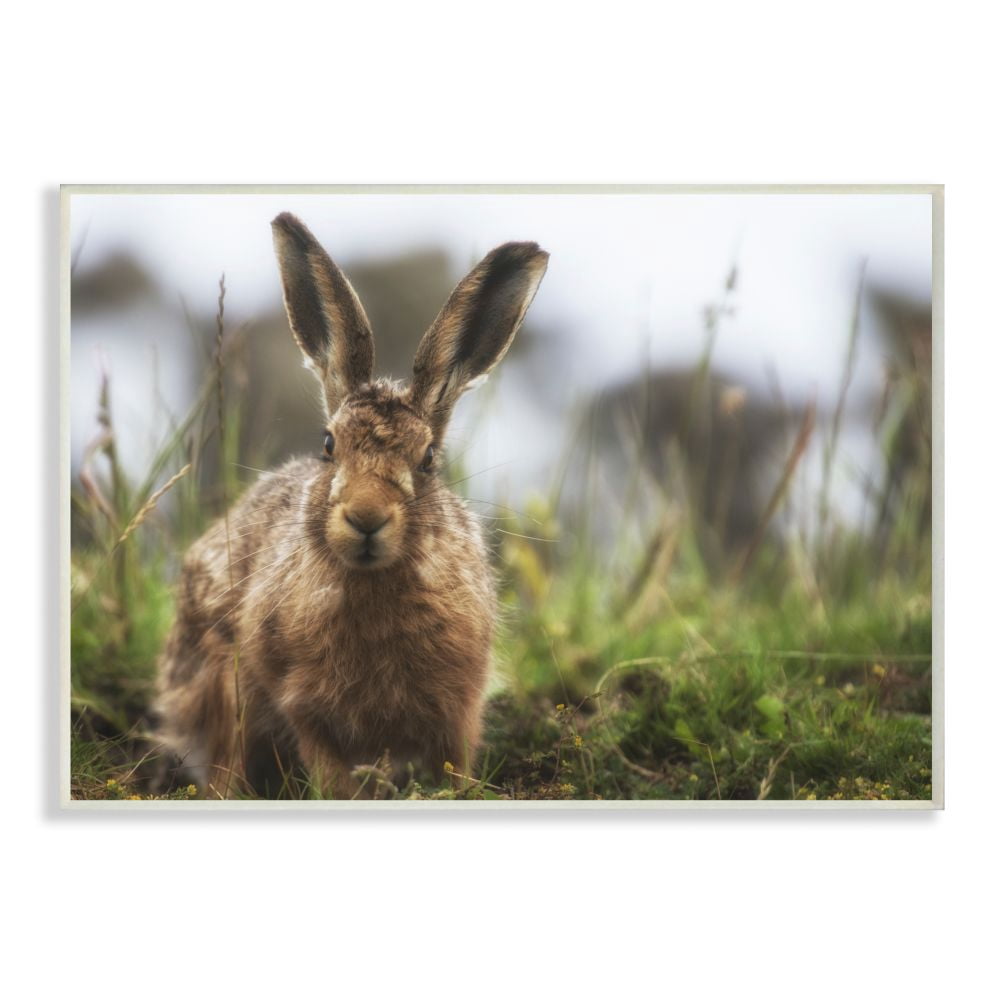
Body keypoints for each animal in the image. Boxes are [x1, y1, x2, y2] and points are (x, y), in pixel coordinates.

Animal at [155, 212, 548, 799]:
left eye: (428, 458)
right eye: (328, 445)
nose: (366, 518)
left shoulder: (458, 703)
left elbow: (454, 763)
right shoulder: (302, 703)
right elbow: (328, 769)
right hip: (219, 685)